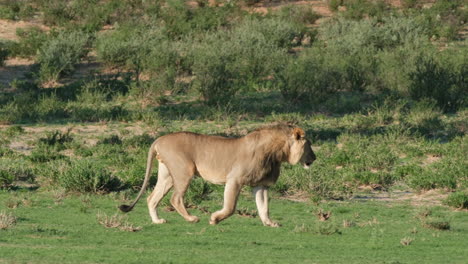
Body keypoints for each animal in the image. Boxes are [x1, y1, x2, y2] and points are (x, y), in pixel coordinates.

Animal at [120, 124, 316, 227]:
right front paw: (214, 219)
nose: (315, 157)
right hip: (184, 171)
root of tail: (159, 139)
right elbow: (230, 207)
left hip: (167, 175)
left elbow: (263, 207)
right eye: (309, 145)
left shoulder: (260, 185)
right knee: (175, 198)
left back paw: (157, 221)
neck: (277, 154)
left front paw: (270, 223)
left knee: (152, 197)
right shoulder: (234, 180)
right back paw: (191, 218)